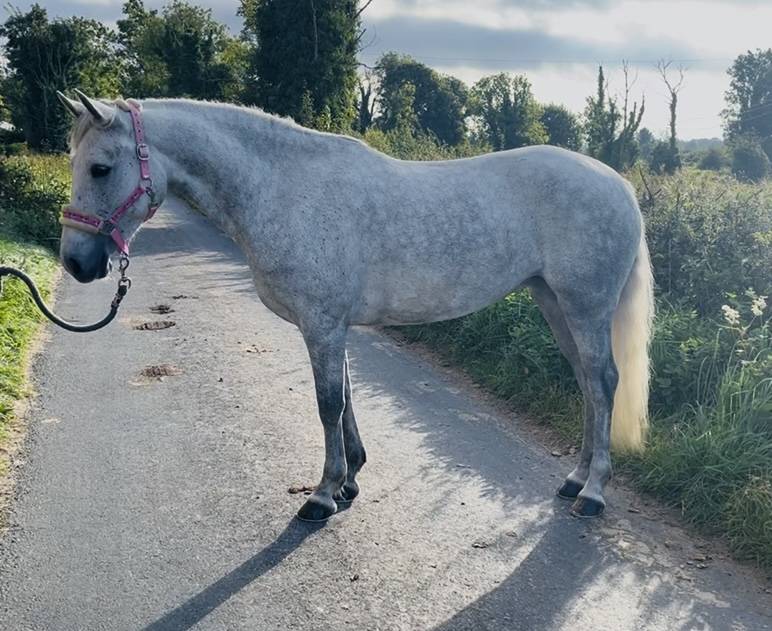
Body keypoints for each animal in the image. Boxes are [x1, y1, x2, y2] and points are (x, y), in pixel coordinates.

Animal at [55, 91, 654, 522]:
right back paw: (575, 479)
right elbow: (343, 399)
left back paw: (593, 492)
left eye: (101, 168)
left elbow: (327, 404)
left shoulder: (322, 324)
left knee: (603, 381)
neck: (282, 189)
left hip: (585, 307)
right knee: (586, 384)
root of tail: (620, 185)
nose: (78, 263)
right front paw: (349, 482)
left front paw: (322, 496)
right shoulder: (332, 324)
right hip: (554, 302)